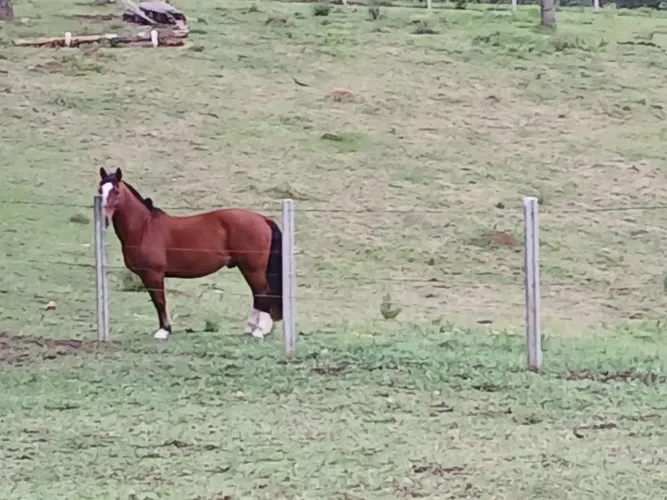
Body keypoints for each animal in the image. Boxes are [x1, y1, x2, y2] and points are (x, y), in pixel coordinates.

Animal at [97, 167, 283, 340]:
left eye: (116, 191)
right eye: (100, 190)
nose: (103, 218)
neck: (144, 227)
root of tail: (262, 218)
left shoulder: (153, 274)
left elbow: (159, 301)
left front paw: (164, 331)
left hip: (252, 268)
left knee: (262, 292)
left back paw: (259, 331)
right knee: (257, 294)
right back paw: (250, 329)